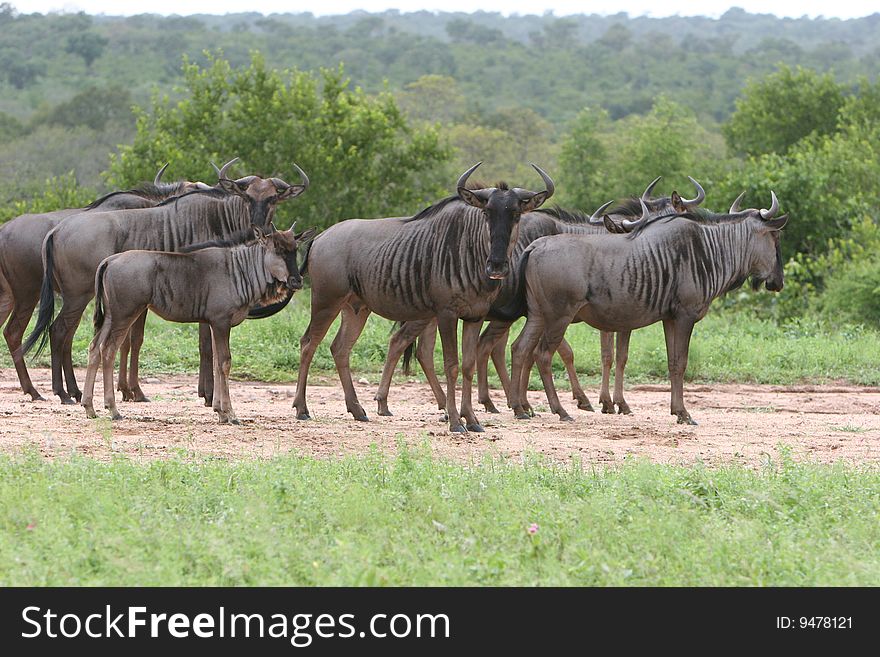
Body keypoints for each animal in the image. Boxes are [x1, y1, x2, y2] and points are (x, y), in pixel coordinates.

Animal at [80, 223, 312, 422]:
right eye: (277, 250)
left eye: (294, 249)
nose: (296, 280)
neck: (238, 270)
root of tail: (110, 260)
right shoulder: (220, 323)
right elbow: (225, 362)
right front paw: (230, 413)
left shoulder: (214, 325)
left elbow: (217, 362)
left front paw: (219, 411)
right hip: (124, 315)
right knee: (108, 349)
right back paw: (112, 409)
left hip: (111, 317)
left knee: (94, 347)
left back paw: (89, 407)